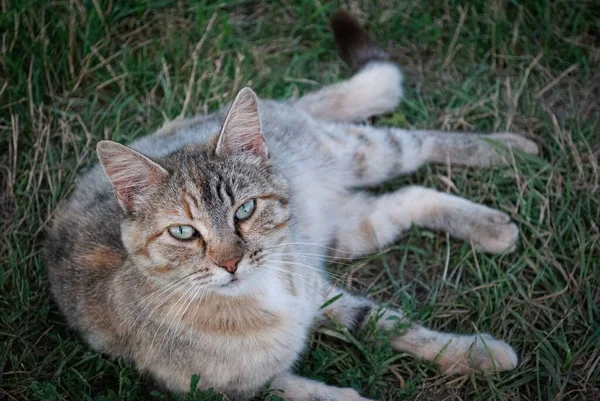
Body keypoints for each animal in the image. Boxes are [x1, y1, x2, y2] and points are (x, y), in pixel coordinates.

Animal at [44, 10, 536, 400]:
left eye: (244, 210)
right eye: (183, 232)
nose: (230, 263)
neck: (263, 298)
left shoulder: (322, 294)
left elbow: (393, 324)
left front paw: (475, 352)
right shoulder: (235, 390)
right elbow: (329, 382)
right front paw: (474, 355)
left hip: (361, 154)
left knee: (417, 142)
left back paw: (509, 150)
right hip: (352, 229)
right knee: (407, 197)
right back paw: (494, 225)